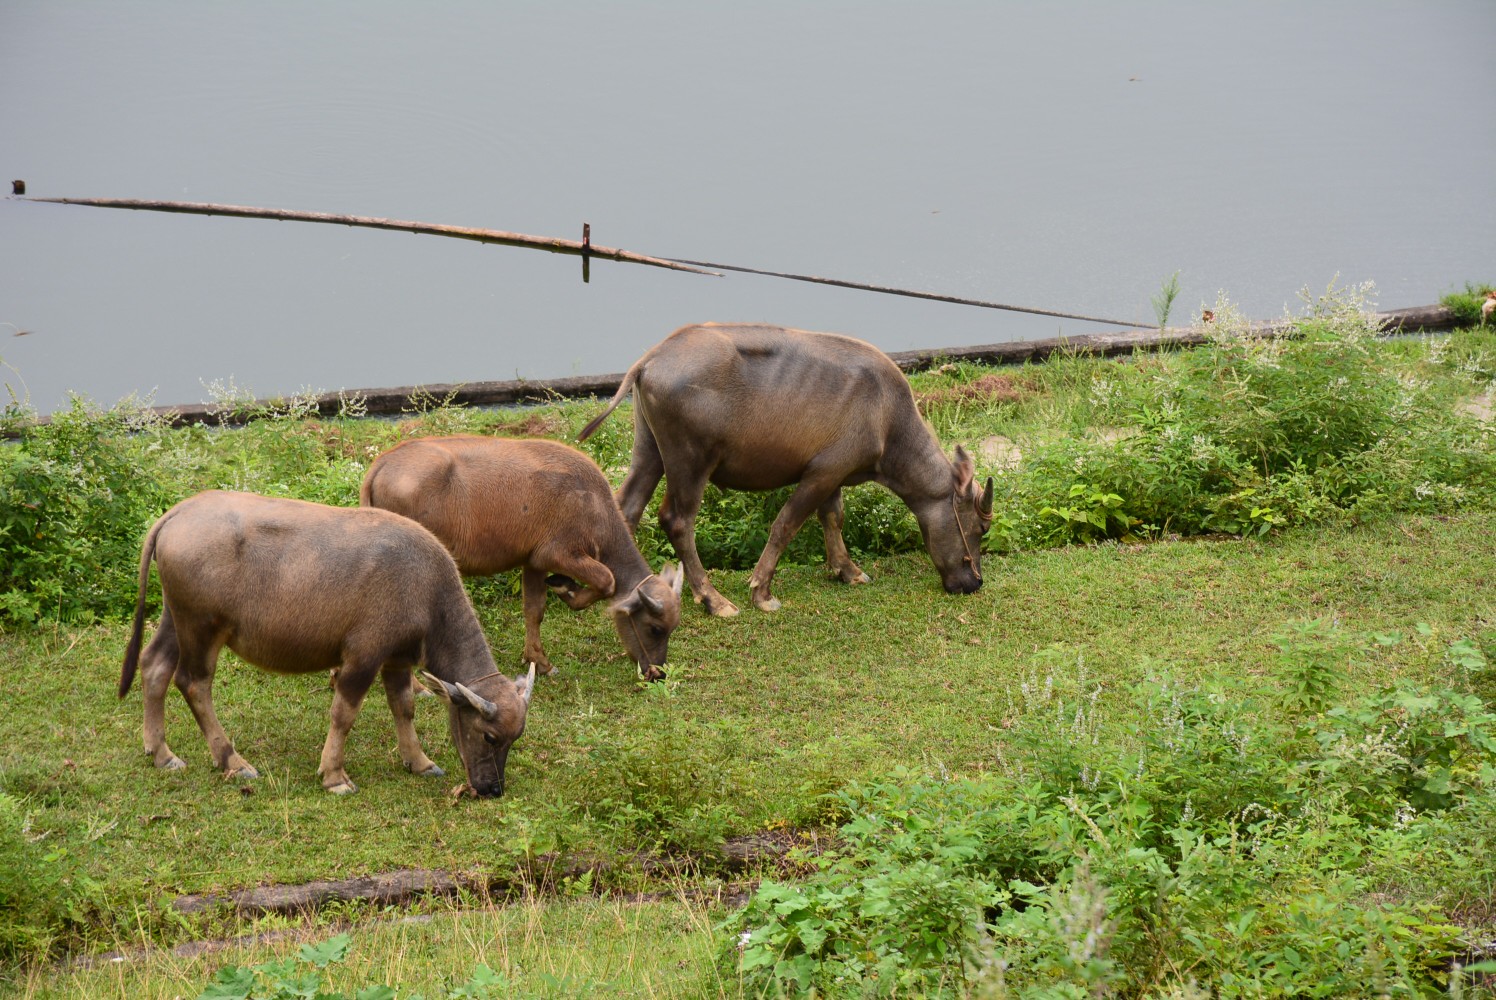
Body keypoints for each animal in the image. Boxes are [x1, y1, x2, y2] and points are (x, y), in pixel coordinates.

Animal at [119, 491, 535, 796]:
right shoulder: (363, 656)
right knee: (193, 683)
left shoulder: (397, 660)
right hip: (202, 627)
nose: (492, 789)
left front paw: (419, 761)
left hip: (176, 617)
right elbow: (343, 714)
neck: (425, 588)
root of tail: (178, 513)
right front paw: (334, 776)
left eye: (515, 739)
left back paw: (162, 754)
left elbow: (404, 707)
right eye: (489, 736)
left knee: (155, 665)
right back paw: (232, 761)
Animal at [359, 434, 685, 679]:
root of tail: (382, 463)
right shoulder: (559, 554)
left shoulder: (533, 562)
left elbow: (534, 610)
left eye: (672, 629)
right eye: (655, 629)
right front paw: (566, 589)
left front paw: (539, 661)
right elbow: (607, 581)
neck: (592, 503)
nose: (657, 673)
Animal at [580, 324, 993, 613]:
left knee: (627, 508)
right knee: (677, 521)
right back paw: (713, 599)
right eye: (979, 528)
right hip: (690, 459)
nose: (974, 583)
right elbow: (786, 524)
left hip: (649, 449)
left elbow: (833, 517)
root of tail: (651, 358)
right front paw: (761, 591)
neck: (888, 416)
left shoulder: (835, 473)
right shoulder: (821, 472)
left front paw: (847, 570)